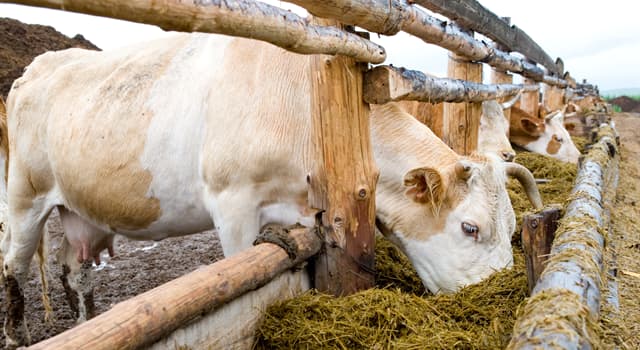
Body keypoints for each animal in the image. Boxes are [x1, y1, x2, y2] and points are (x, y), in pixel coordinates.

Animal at [1, 32, 540, 348]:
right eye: (470, 227)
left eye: (513, 226)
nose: (499, 291)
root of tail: (36, 69)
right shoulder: (232, 201)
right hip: (25, 198)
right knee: (14, 267)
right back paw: (18, 332)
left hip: (79, 212)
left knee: (75, 273)